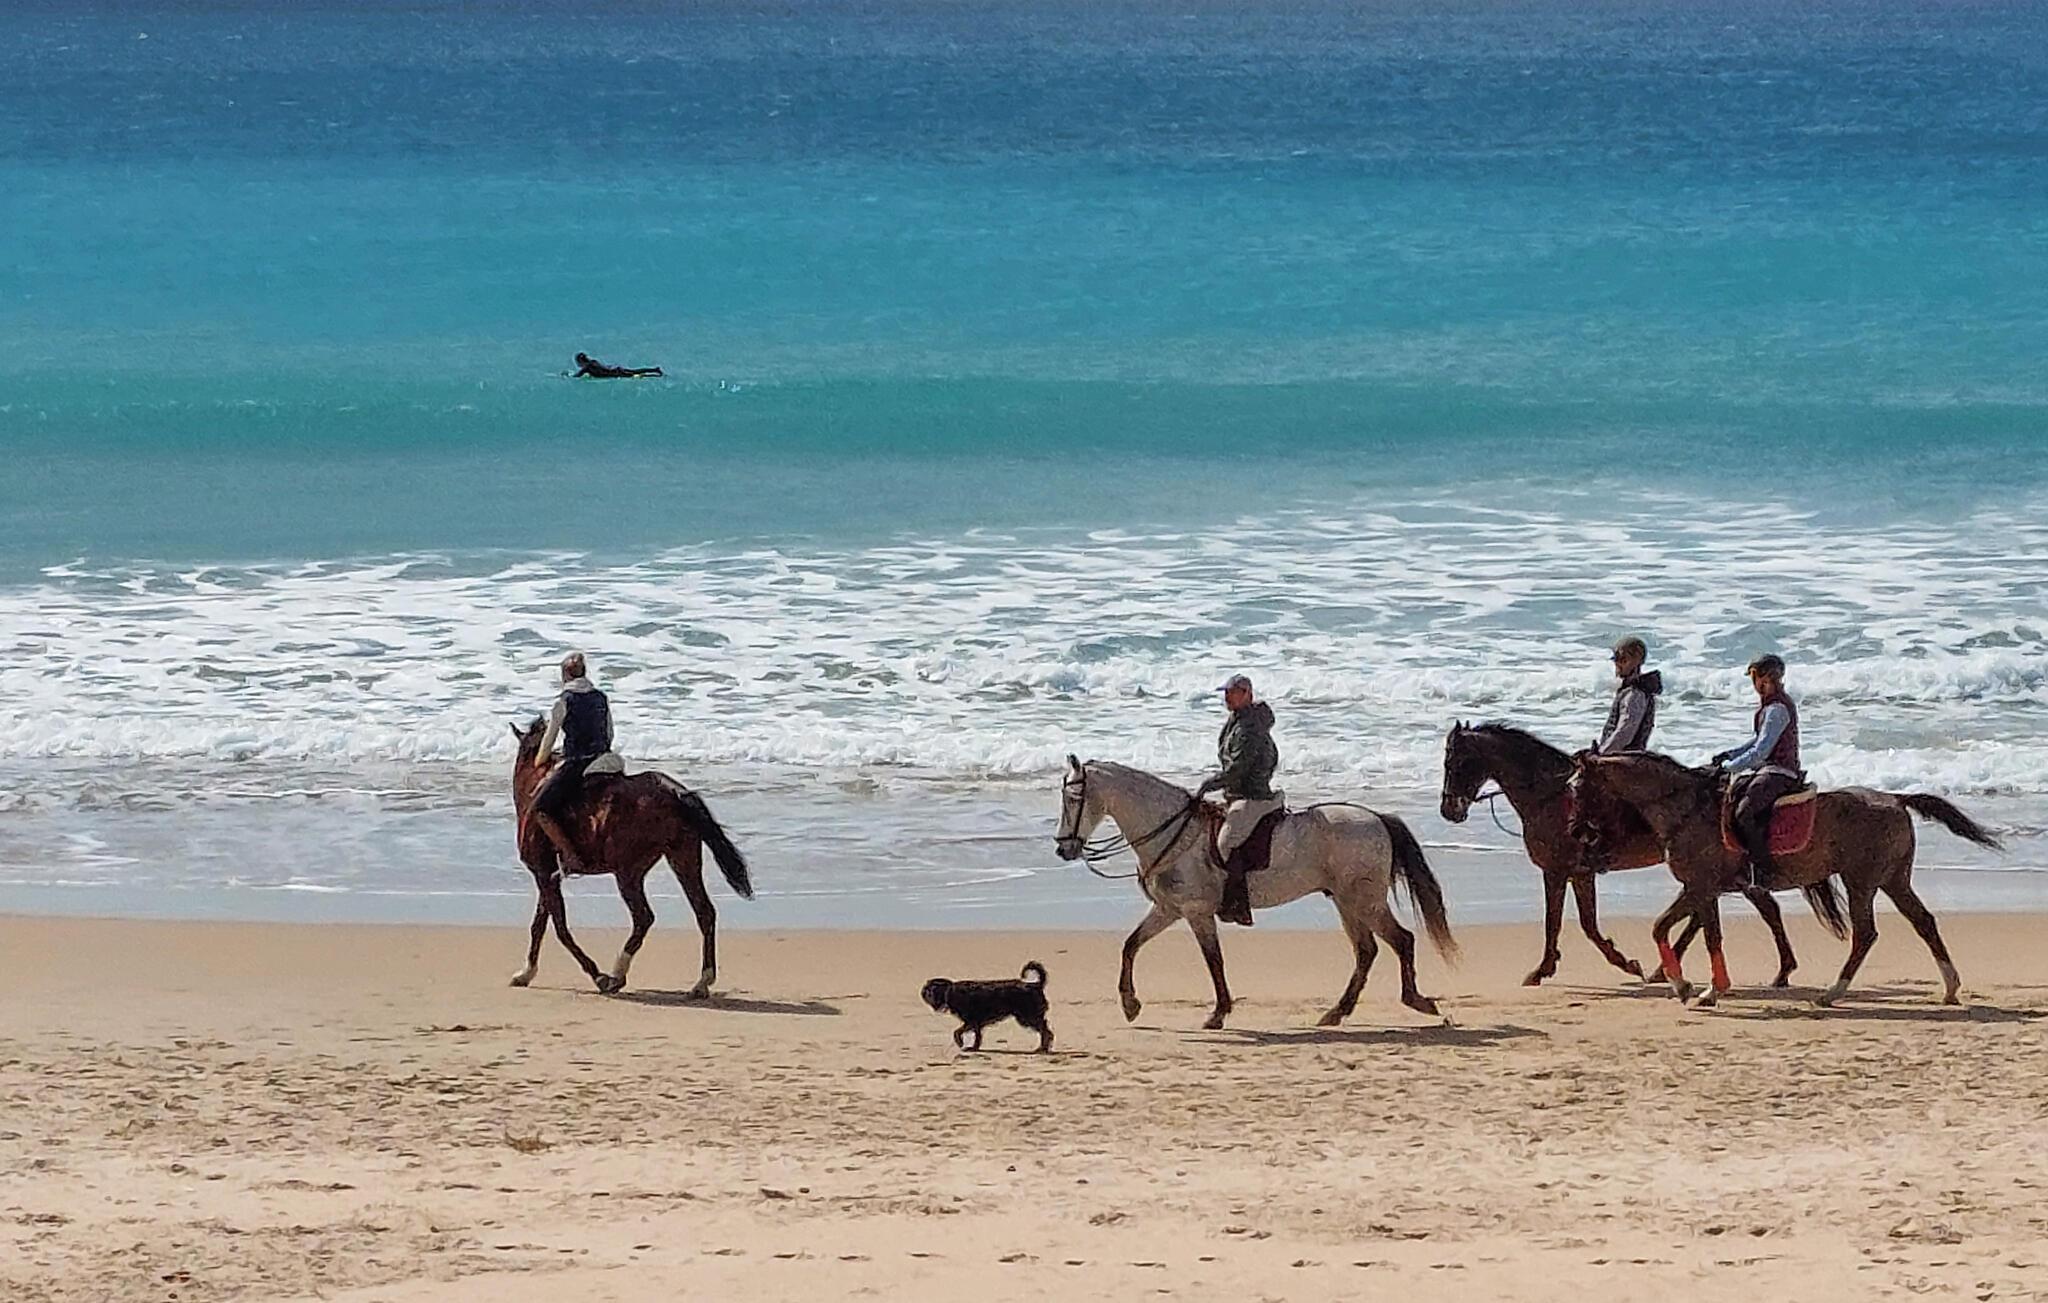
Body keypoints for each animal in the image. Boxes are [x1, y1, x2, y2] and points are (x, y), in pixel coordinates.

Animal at [508, 719, 752, 996]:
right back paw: (702, 982)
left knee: (644, 918)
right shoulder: (549, 876)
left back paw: (616, 974)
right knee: (704, 912)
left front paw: (598, 976)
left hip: (628, 873)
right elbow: (539, 924)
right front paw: (525, 973)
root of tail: (675, 792)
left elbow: (559, 928)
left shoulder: (542, 873)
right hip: (683, 858)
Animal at [920, 961, 1052, 1053]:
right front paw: (974, 1047)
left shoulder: (972, 1021)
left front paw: (964, 1044)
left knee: (1045, 1031)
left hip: (1028, 1017)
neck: (950, 991)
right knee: (1046, 1030)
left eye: (929, 990)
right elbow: (975, 1035)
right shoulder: (975, 1023)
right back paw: (1043, 1048)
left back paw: (1042, 1048)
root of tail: (1035, 985)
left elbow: (957, 1032)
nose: (923, 993)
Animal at [1053, 756, 1456, 1031]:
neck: (1172, 831)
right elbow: (1131, 945)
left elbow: (1213, 961)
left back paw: (1416, 1001)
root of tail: (1376, 818)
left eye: (1073, 798)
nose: (1063, 848)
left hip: (1364, 901)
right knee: (1366, 950)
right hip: (1346, 902)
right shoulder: (1169, 909)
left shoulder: (1196, 911)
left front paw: (1218, 1013)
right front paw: (1130, 1004)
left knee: (1400, 940)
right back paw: (1336, 1012)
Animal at [1439, 722, 1812, 988]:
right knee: (1744, 909)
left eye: (1455, 762)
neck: (1550, 796)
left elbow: (1562, 923)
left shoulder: (1561, 871)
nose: (1448, 811)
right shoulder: (1578, 872)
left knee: (1753, 908)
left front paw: (1550, 969)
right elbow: (1582, 924)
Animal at [1568, 750, 2001, 1008]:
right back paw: (1950, 987)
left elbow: (1675, 930)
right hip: (1894, 879)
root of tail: (1895, 798)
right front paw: (1696, 987)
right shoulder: (1703, 889)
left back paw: (1833, 991)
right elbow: (1694, 932)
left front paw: (1694, 987)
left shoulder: (1700, 886)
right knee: (1923, 922)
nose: (1573, 831)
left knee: (1866, 933)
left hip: (1861, 881)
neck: (1686, 810)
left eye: (1577, 788)